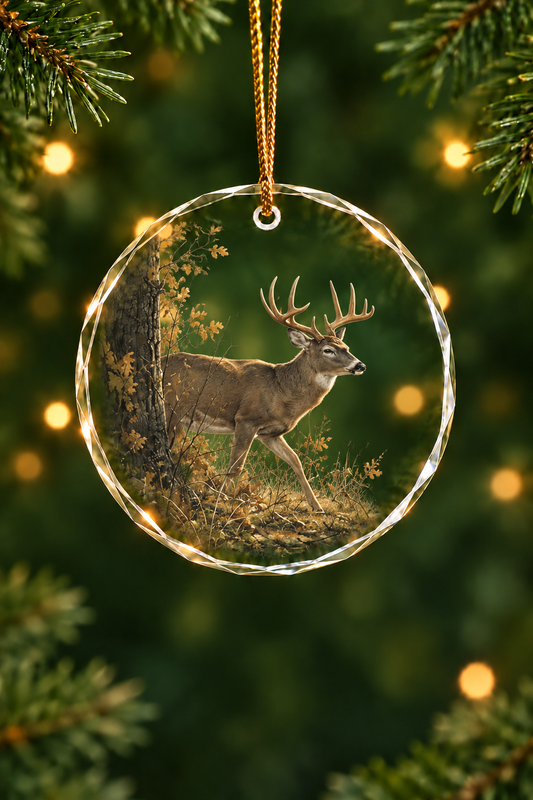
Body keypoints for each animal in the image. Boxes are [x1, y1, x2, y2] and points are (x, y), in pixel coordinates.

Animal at [163, 277, 374, 513]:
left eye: (346, 346)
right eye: (328, 350)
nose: (360, 365)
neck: (281, 391)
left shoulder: (270, 433)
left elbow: (295, 460)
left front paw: (317, 506)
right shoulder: (246, 419)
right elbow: (236, 466)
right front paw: (222, 501)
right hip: (171, 410)